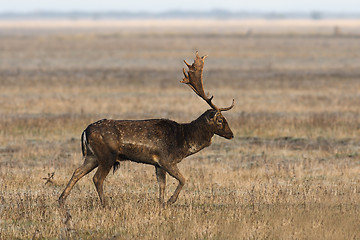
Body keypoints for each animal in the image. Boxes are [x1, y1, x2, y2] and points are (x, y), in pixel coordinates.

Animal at [58, 52, 235, 206]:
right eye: (220, 120)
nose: (231, 134)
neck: (184, 140)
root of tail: (85, 131)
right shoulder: (167, 159)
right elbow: (183, 179)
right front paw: (171, 201)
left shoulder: (158, 164)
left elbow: (162, 184)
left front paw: (161, 203)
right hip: (107, 155)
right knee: (97, 178)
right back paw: (105, 205)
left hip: (92, 156)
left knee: (77, 171)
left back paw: (61, 200)